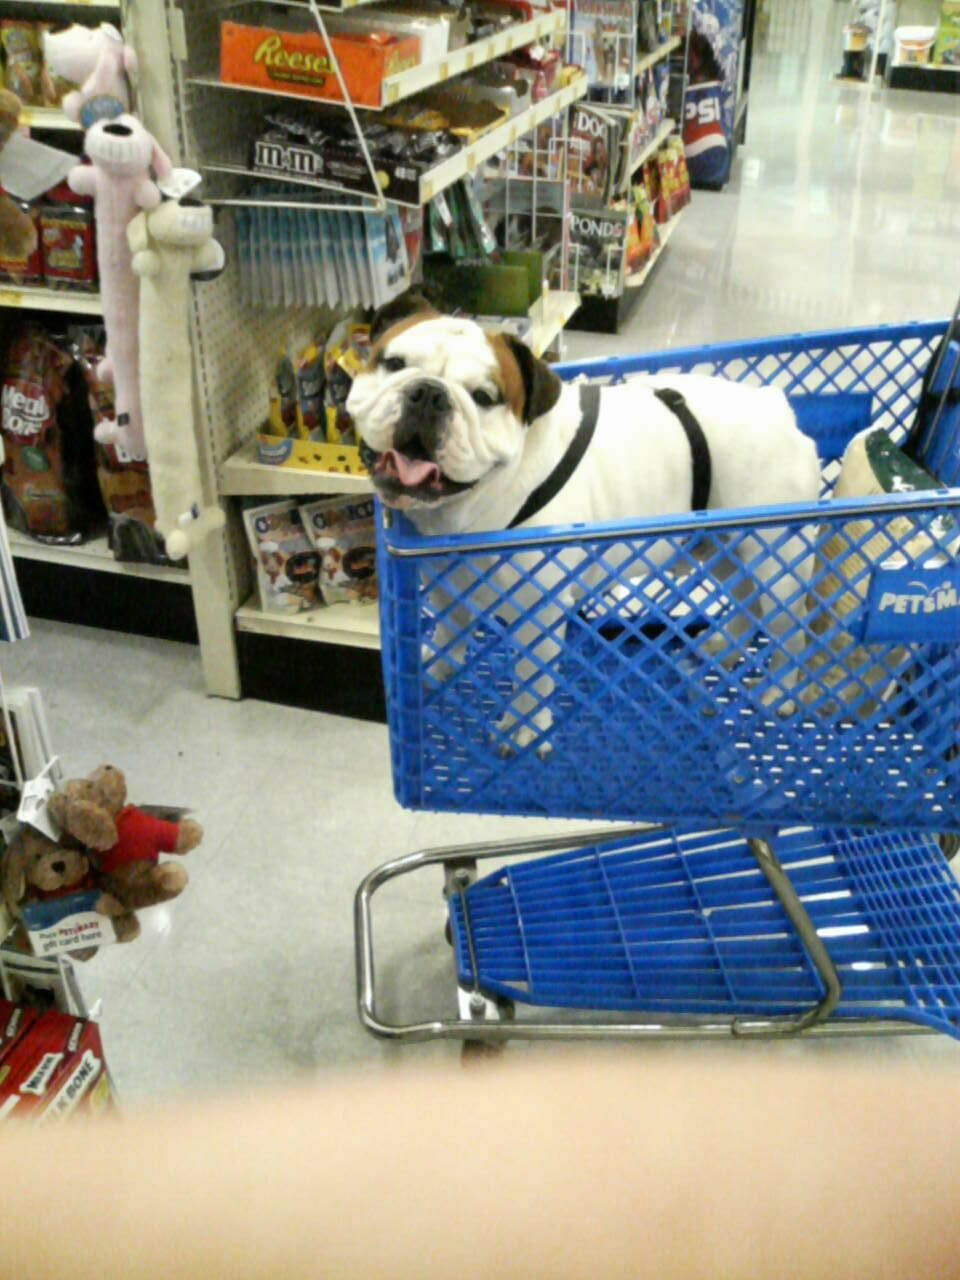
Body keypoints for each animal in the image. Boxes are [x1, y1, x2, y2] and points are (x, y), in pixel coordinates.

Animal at [348, 297, 821, 751]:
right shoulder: (449, 586)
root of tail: (777, 407)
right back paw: (720, 646)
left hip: (776, 564)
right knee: (747, 604)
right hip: (728, 548)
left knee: (790, 631)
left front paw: (525, 729)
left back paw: (777, 694)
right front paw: (434, 669)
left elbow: (532, 678)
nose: (428, 393)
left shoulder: (538, 614)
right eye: (393, 363)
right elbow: (449, 632)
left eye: (483, 397)